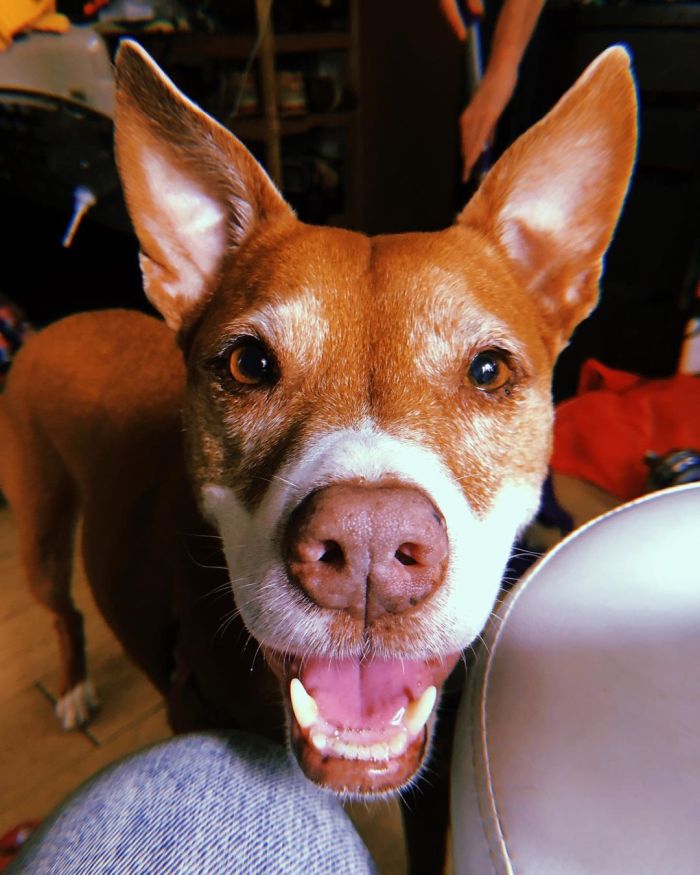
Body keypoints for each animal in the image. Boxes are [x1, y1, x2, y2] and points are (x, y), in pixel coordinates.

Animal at [0, 37, 636, 820]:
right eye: (247, 363)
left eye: (488, 370)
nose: (368, 545)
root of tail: (60, 320)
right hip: (39, 527)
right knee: (63, 610)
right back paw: (72, 687)